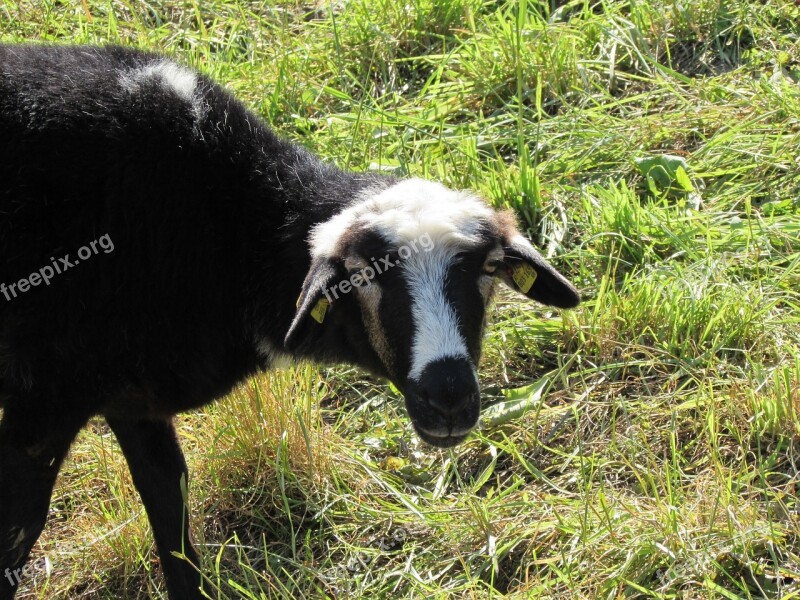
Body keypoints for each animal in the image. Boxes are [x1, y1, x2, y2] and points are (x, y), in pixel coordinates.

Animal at [0, 44, 580, 596]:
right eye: (361, 276)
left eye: (488, 268)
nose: (450, 397)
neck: (227, 232)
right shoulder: (41, 406)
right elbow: (20, 532)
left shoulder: (135, 400)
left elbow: (172, 515)